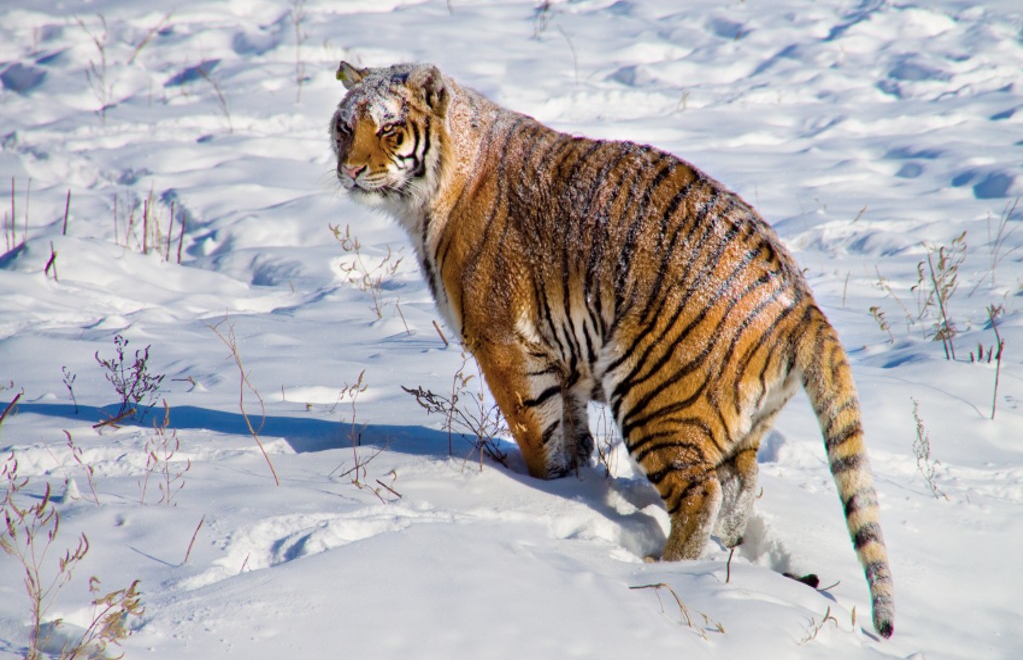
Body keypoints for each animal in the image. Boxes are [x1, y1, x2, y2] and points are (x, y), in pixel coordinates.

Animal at [329, 61, 896, 638]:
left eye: (390, 129)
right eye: (345, 127)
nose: (350, 170)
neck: (435, 190)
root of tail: (799, 298)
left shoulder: (504, 344)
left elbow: (537, 436)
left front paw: (546, 490)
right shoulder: (562, 358)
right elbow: (570, 431)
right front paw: (575, 483)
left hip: (655, 396)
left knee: (701, 493)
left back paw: (665, 570)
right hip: (742, 421)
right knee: (741, 484)